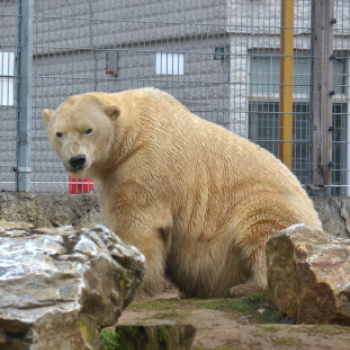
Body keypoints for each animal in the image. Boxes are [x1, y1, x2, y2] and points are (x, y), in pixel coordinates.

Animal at [41, 87, 322, 298]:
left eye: (88, 129)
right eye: (59, 133)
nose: (76, 160)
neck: (132, 134)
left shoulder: (149, 163)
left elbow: (137, 222)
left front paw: (135, 283)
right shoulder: (114, 174)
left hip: (264, 204)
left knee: (263, 227)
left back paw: (248, 287)